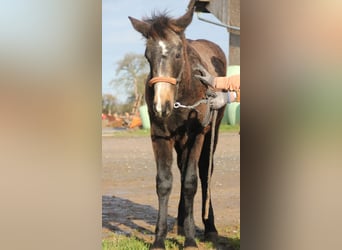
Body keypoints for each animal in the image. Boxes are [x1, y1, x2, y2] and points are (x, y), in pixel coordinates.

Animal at [128, 1, 227, 248]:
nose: (161, 106)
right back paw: (181, 224)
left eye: (177, 54)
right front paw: (159, 238)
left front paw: (191, 240)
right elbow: (164, 182)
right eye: (147, 56)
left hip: (212, 133)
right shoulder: (160, 136)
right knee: (182, 171)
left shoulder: (196, 136)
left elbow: (191, 182)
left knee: (204, 172)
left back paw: (209, 228)